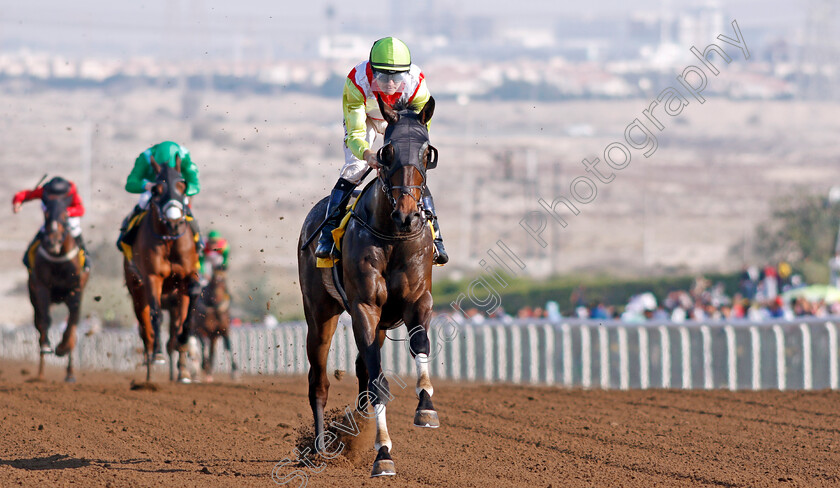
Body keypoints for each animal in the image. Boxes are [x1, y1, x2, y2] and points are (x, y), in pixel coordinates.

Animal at [28, 187, 90, 382]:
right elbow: (44, 320)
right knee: (39, 323)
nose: (52, 241)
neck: (58, 258)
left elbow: (72, 324)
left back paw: (69, 373)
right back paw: (40, 373)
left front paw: (63, 348)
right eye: (46, 213)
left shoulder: (76, 290)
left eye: (65, 215)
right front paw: (47, 346)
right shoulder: (41, 287)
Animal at [123, 158, 202, 384]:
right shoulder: (152, 277)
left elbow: (190, 304)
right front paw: (157, 354)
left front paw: (183, 340)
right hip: (136, 292)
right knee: (146, 330)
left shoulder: (188, 275)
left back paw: (182, 372)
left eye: (182, 186)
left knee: (174, 328)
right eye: (156, 190)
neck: (169, 240)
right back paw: (150, 368)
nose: (174, 222)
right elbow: (156, 314)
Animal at [296, 94, 440, 476]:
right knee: (319, 381)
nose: (408, 214)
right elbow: (377, 382)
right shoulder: (364, 306)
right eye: (388, 152)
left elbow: (419, 345)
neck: (393, 235)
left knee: (363, 372)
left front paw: (426, 407)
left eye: (427, 152)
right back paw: (320, 449)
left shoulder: (419, 299)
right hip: (319, 313)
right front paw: (383, 454)